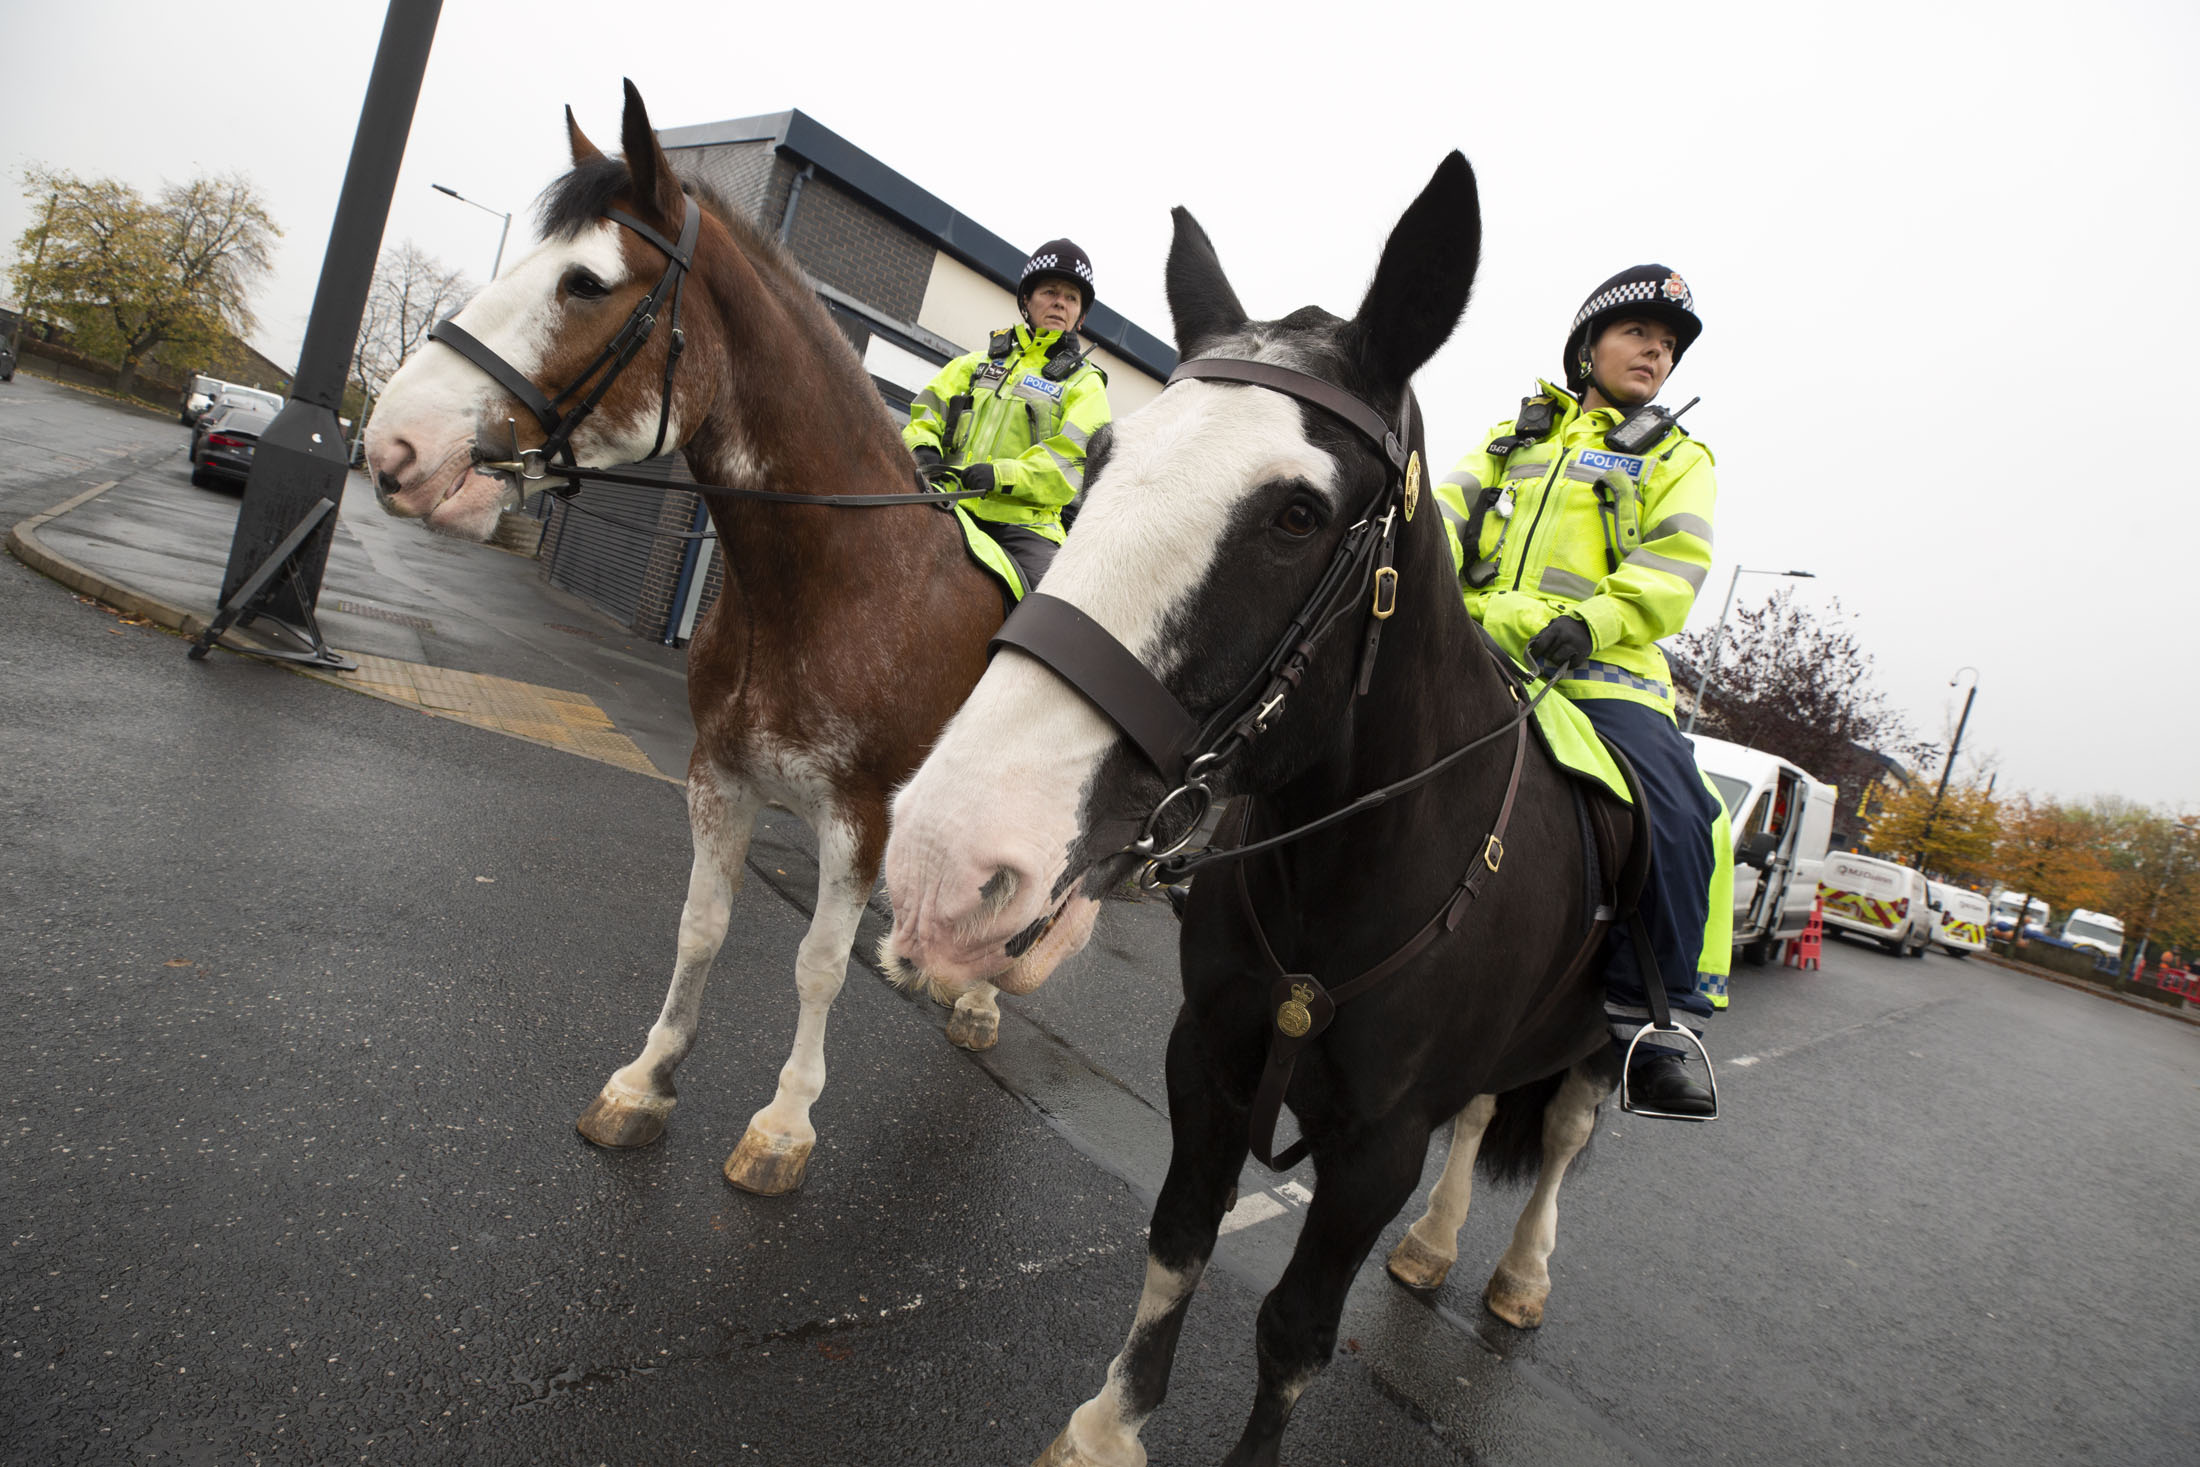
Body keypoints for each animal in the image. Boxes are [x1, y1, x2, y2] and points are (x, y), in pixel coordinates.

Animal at [364, 81, 1050, 1195]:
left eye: (587, 281)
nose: (394, 443)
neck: (839, 583)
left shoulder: (858, 817)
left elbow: (816, 963)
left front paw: (784, 1125)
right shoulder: (717, 774)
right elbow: (702, 927)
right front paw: (645, 1081)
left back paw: (982, 1001)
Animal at [882, 154, 1642, 1467]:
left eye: (1296, 516)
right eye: (1095, 468)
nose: (945, 860)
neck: (1348, 866)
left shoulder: (1375, 1144)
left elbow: (1292, 1331)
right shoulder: (1211, 1055)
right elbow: (1179, 1240)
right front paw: (1108, 1426)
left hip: (1595, 1046)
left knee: (1555, 1138)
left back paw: (1517, 1275)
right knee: (1488, 1111)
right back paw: (1435, 1247)